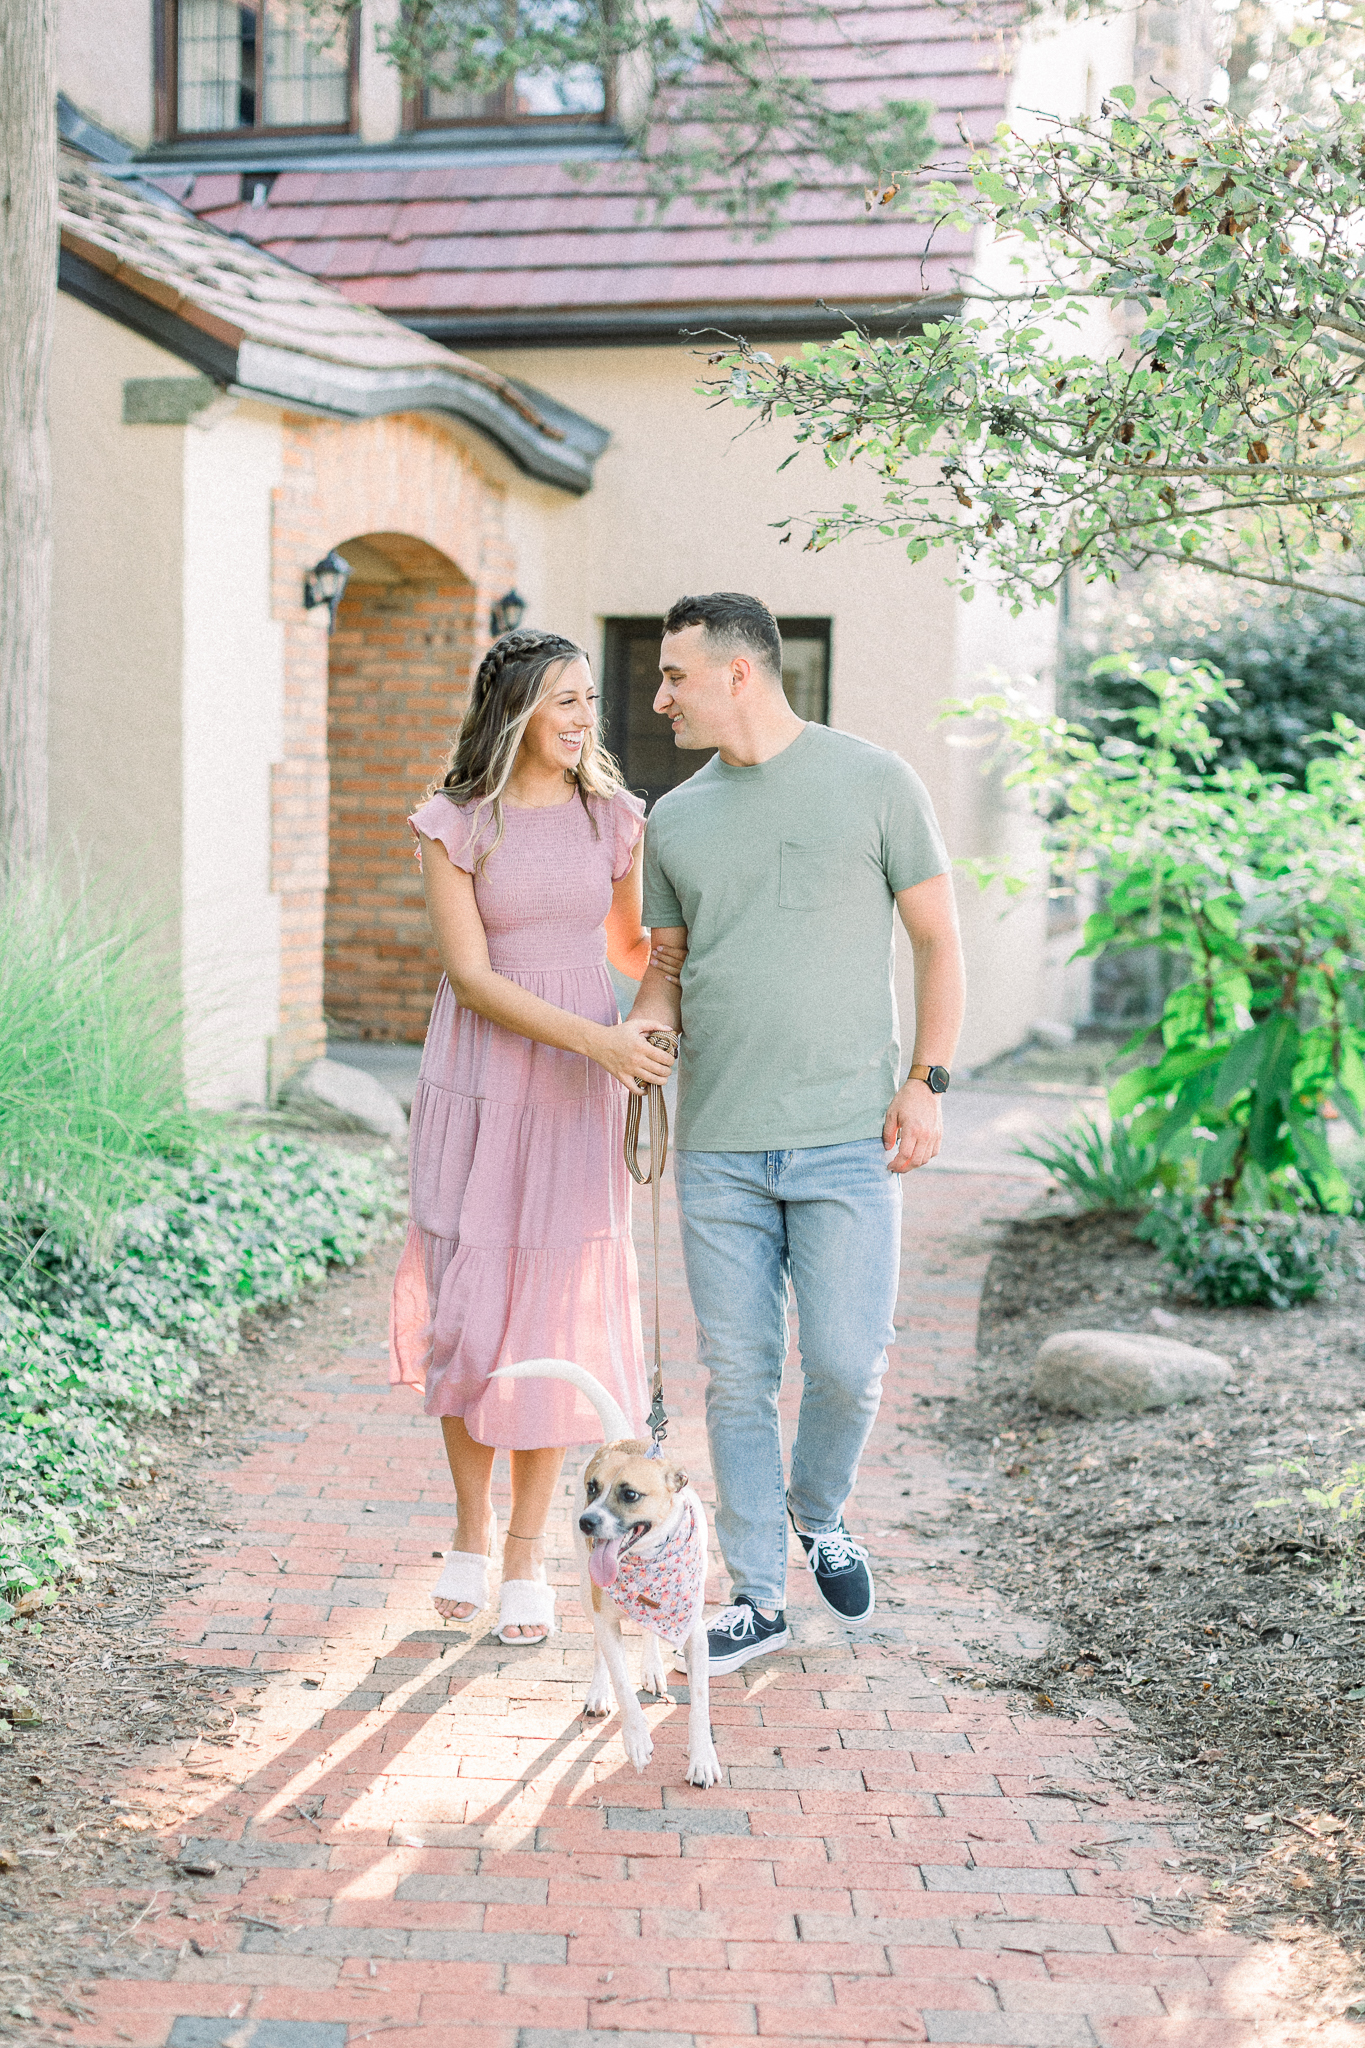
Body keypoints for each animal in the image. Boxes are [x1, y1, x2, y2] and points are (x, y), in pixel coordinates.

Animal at [493, 1368, 724, 1785]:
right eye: (592, 1488)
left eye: (629, 1494)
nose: (587, 1522)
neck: (648, 1560)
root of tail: (622, 1439)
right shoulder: (604, 1616)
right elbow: (621, 1683)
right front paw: (636, 1738)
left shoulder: (694, 1632)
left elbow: (699, 1703)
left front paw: (702, 1759)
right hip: (589, 1596)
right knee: (601, 1650)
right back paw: (599, 1694)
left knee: (649, 1632)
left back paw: (652, 1669)